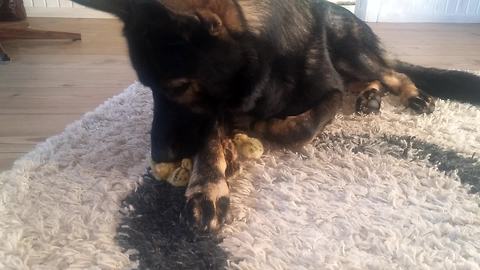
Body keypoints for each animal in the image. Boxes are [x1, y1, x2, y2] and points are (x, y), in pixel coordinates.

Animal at [72, 0, 480, 232]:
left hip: (349, 48)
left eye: (179, 85)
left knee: (391, 71)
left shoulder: (328, 93)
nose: (159, 156)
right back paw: (369, 98)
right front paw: (207, 185)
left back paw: (412, 95)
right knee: (373, 78)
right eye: (147, 86)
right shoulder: (221, 105)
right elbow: (210, 139)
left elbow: (301, 128)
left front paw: (263, 125)